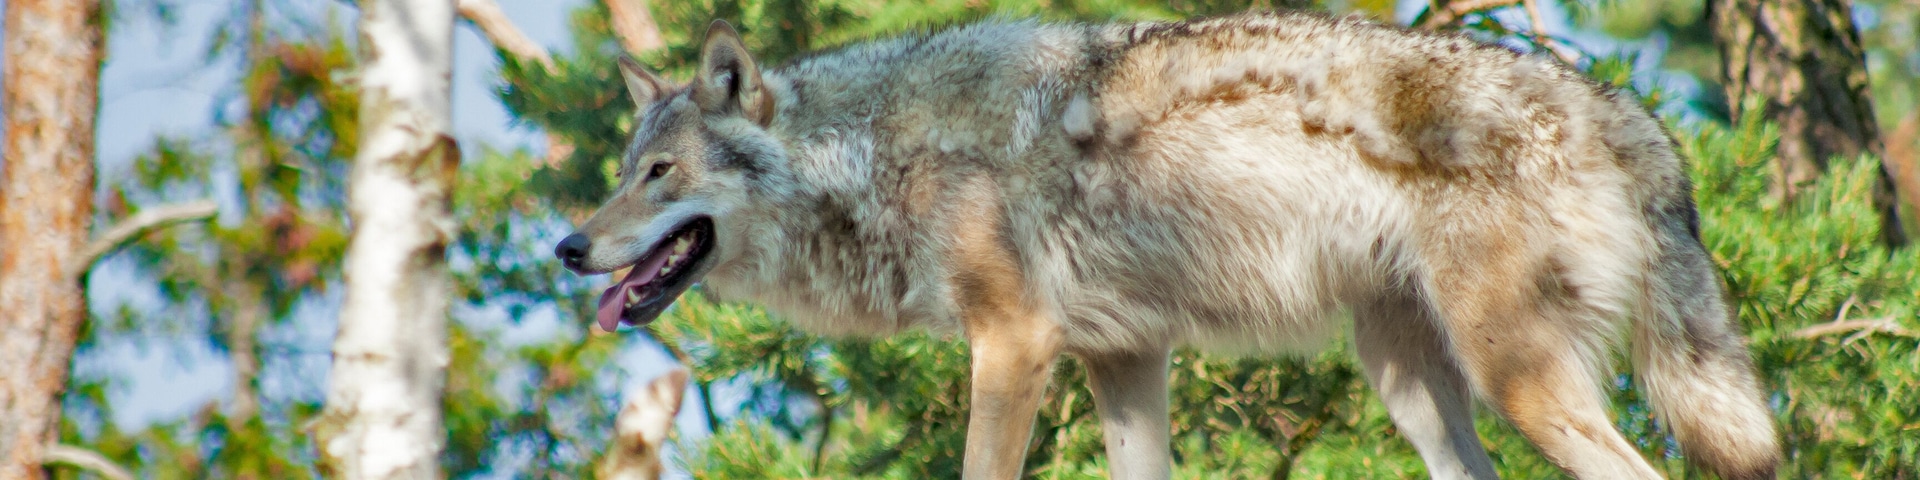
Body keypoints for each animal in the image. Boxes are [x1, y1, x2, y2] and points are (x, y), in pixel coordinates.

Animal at [552, 11, 1779, 479]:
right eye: (622, 170)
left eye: (660, 176)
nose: (566, 247)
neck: (887, 149)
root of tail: (1626, 113)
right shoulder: (1125, 358)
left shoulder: (1012, 346)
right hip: (1414, 388)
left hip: (1513, 380)